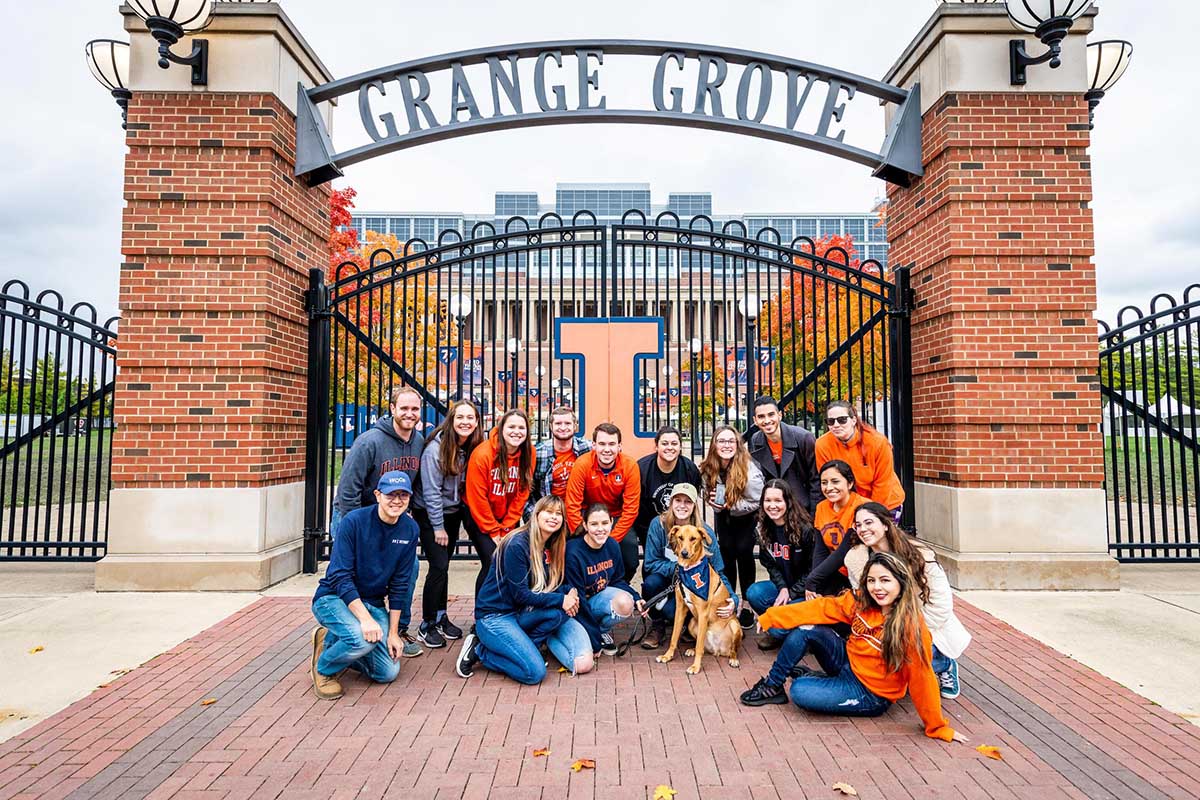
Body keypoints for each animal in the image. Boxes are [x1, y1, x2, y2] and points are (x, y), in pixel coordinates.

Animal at [657, 522, 739, 671]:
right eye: (680, 537)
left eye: (693, 539)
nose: (684, 553)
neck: (689, 569)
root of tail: (718, 650)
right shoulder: (680, 609)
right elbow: (674, 637)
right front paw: (667, 656)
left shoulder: (703, 613)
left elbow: (699, 644)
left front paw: (696, 667)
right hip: (691, 623)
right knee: (702, 646)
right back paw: (692, 650)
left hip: (734, 625)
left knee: (732, 649)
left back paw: (733, 659)